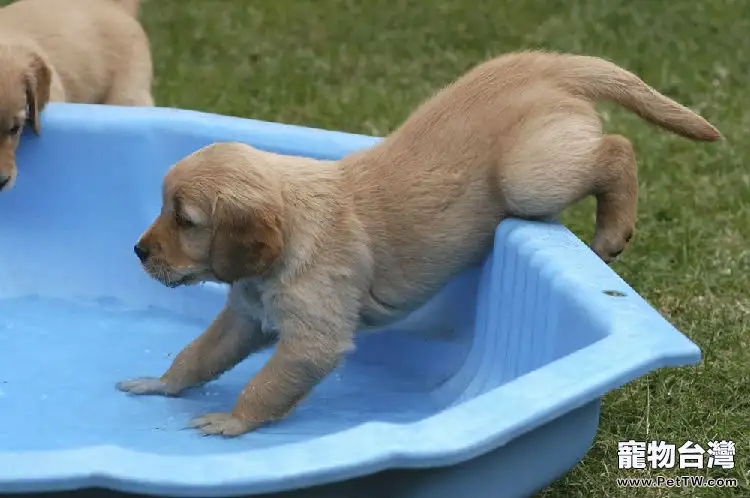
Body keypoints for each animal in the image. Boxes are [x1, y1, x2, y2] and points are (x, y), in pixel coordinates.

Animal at [117, 51, 724, 436]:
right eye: (166, 210)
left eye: (185, 220)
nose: (139, 252)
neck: (291, 235)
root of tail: (541, 63)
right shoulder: (245, 316)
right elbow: (200, 353)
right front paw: (163, 383)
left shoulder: (313, 336)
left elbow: (268, 384)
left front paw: (234, 421)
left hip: (531, 178)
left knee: (618, 148)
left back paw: (613, 228)